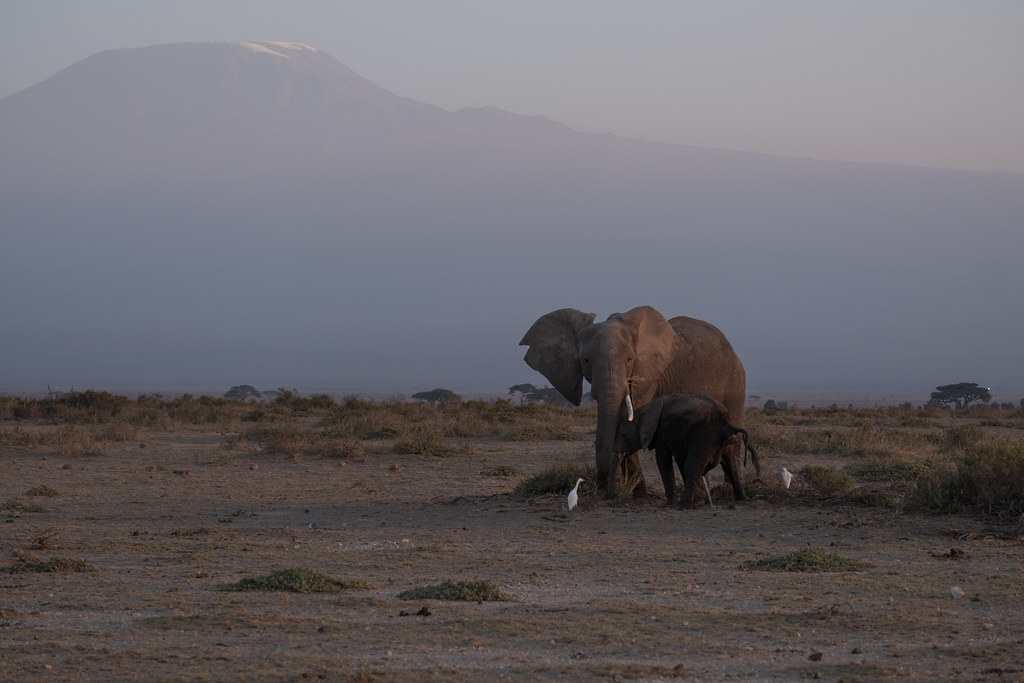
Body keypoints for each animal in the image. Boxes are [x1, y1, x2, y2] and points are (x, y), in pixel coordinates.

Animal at [519, 305, 747, 497]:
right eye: (585, 360)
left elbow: (629, 421)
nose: (601, 489)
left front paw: (638, 495)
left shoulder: (648, 376)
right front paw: (639, 496)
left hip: (735, 381)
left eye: (630, 359)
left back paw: (726, 490)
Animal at [613, 394, 760, 508]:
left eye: (624, 435)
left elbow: (663, 462)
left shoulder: (661, 434)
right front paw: (698, 501)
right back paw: (743, 499)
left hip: (704, 437)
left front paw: (669, 504)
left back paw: (682, 505)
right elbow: (680, 462)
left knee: (692, 467)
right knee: (731, 466)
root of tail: (727, 425)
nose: (616, 497)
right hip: (722, 443)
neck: (644, 409)